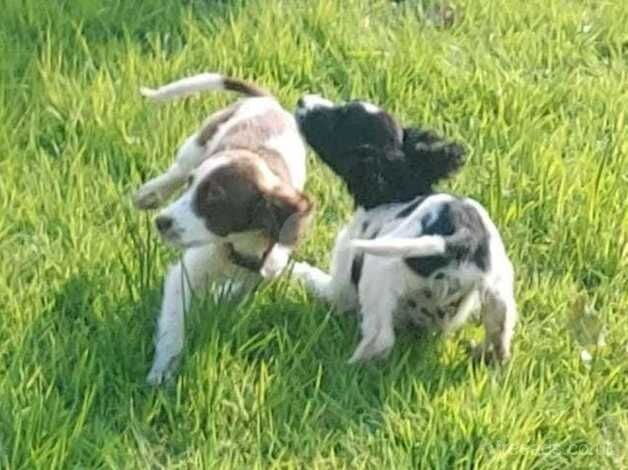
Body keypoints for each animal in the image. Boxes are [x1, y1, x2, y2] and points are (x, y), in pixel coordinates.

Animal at [134, 71, 310, 384]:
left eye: (213, 200)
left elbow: (240, 292)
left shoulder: (265, 269)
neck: (239, 244)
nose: (161, 222)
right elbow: (172, 326)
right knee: (177, 168)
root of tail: (271, 103)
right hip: (198, 144)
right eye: (191, 187)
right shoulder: (185, 274)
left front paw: (222, 299)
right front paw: (163, 371)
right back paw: (150, 193)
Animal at [292, 95, 516, 366]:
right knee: (500, 338)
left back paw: (347, 365)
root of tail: (463, 236)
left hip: (378, 271)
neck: (398, 194)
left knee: (381, 339)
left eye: (339, 120)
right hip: (499, 292)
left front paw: (294, 268)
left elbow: (316, 280)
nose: (302, 100)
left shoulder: (341, 283)